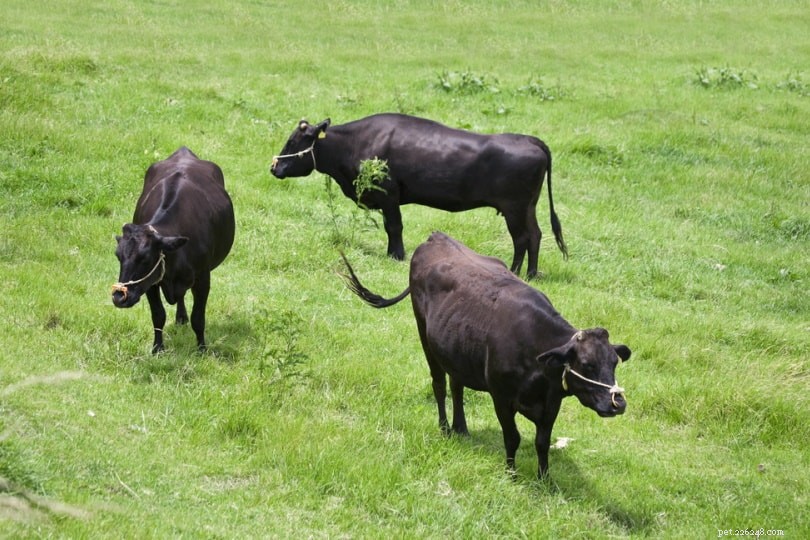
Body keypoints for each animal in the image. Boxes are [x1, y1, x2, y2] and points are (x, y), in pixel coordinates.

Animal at [111, 147, 235, 354]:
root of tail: (184, 152)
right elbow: (158, 315)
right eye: (118, 256)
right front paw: (157, 348)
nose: (119, 297)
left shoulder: (203, 278)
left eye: (145, 258)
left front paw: (202, 349)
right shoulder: (151, 282)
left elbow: (198, 318)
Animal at [270, 113, 567, 278]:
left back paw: (517, 272)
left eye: (293, 142)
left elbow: (394, 226)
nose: (274, 167)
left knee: (522, 238)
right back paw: (532, 274)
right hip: (527, 207)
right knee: (536, 235)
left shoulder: (389, 194)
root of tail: (529, 139)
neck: (354, 143)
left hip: (514, 208)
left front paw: (397, 255)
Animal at [340, 231, 631, 478]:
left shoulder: (551, 403)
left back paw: (461, 428)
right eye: (586, 364)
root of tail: (436, 237)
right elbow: (512, 437)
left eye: (614, 363)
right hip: (425, 336)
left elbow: (542, 442)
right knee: (439, 384)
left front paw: (545, 479)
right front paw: (511, 475)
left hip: (455, 349)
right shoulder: (501, 397)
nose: (618, 403)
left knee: (456, 386)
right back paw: (445, 428)